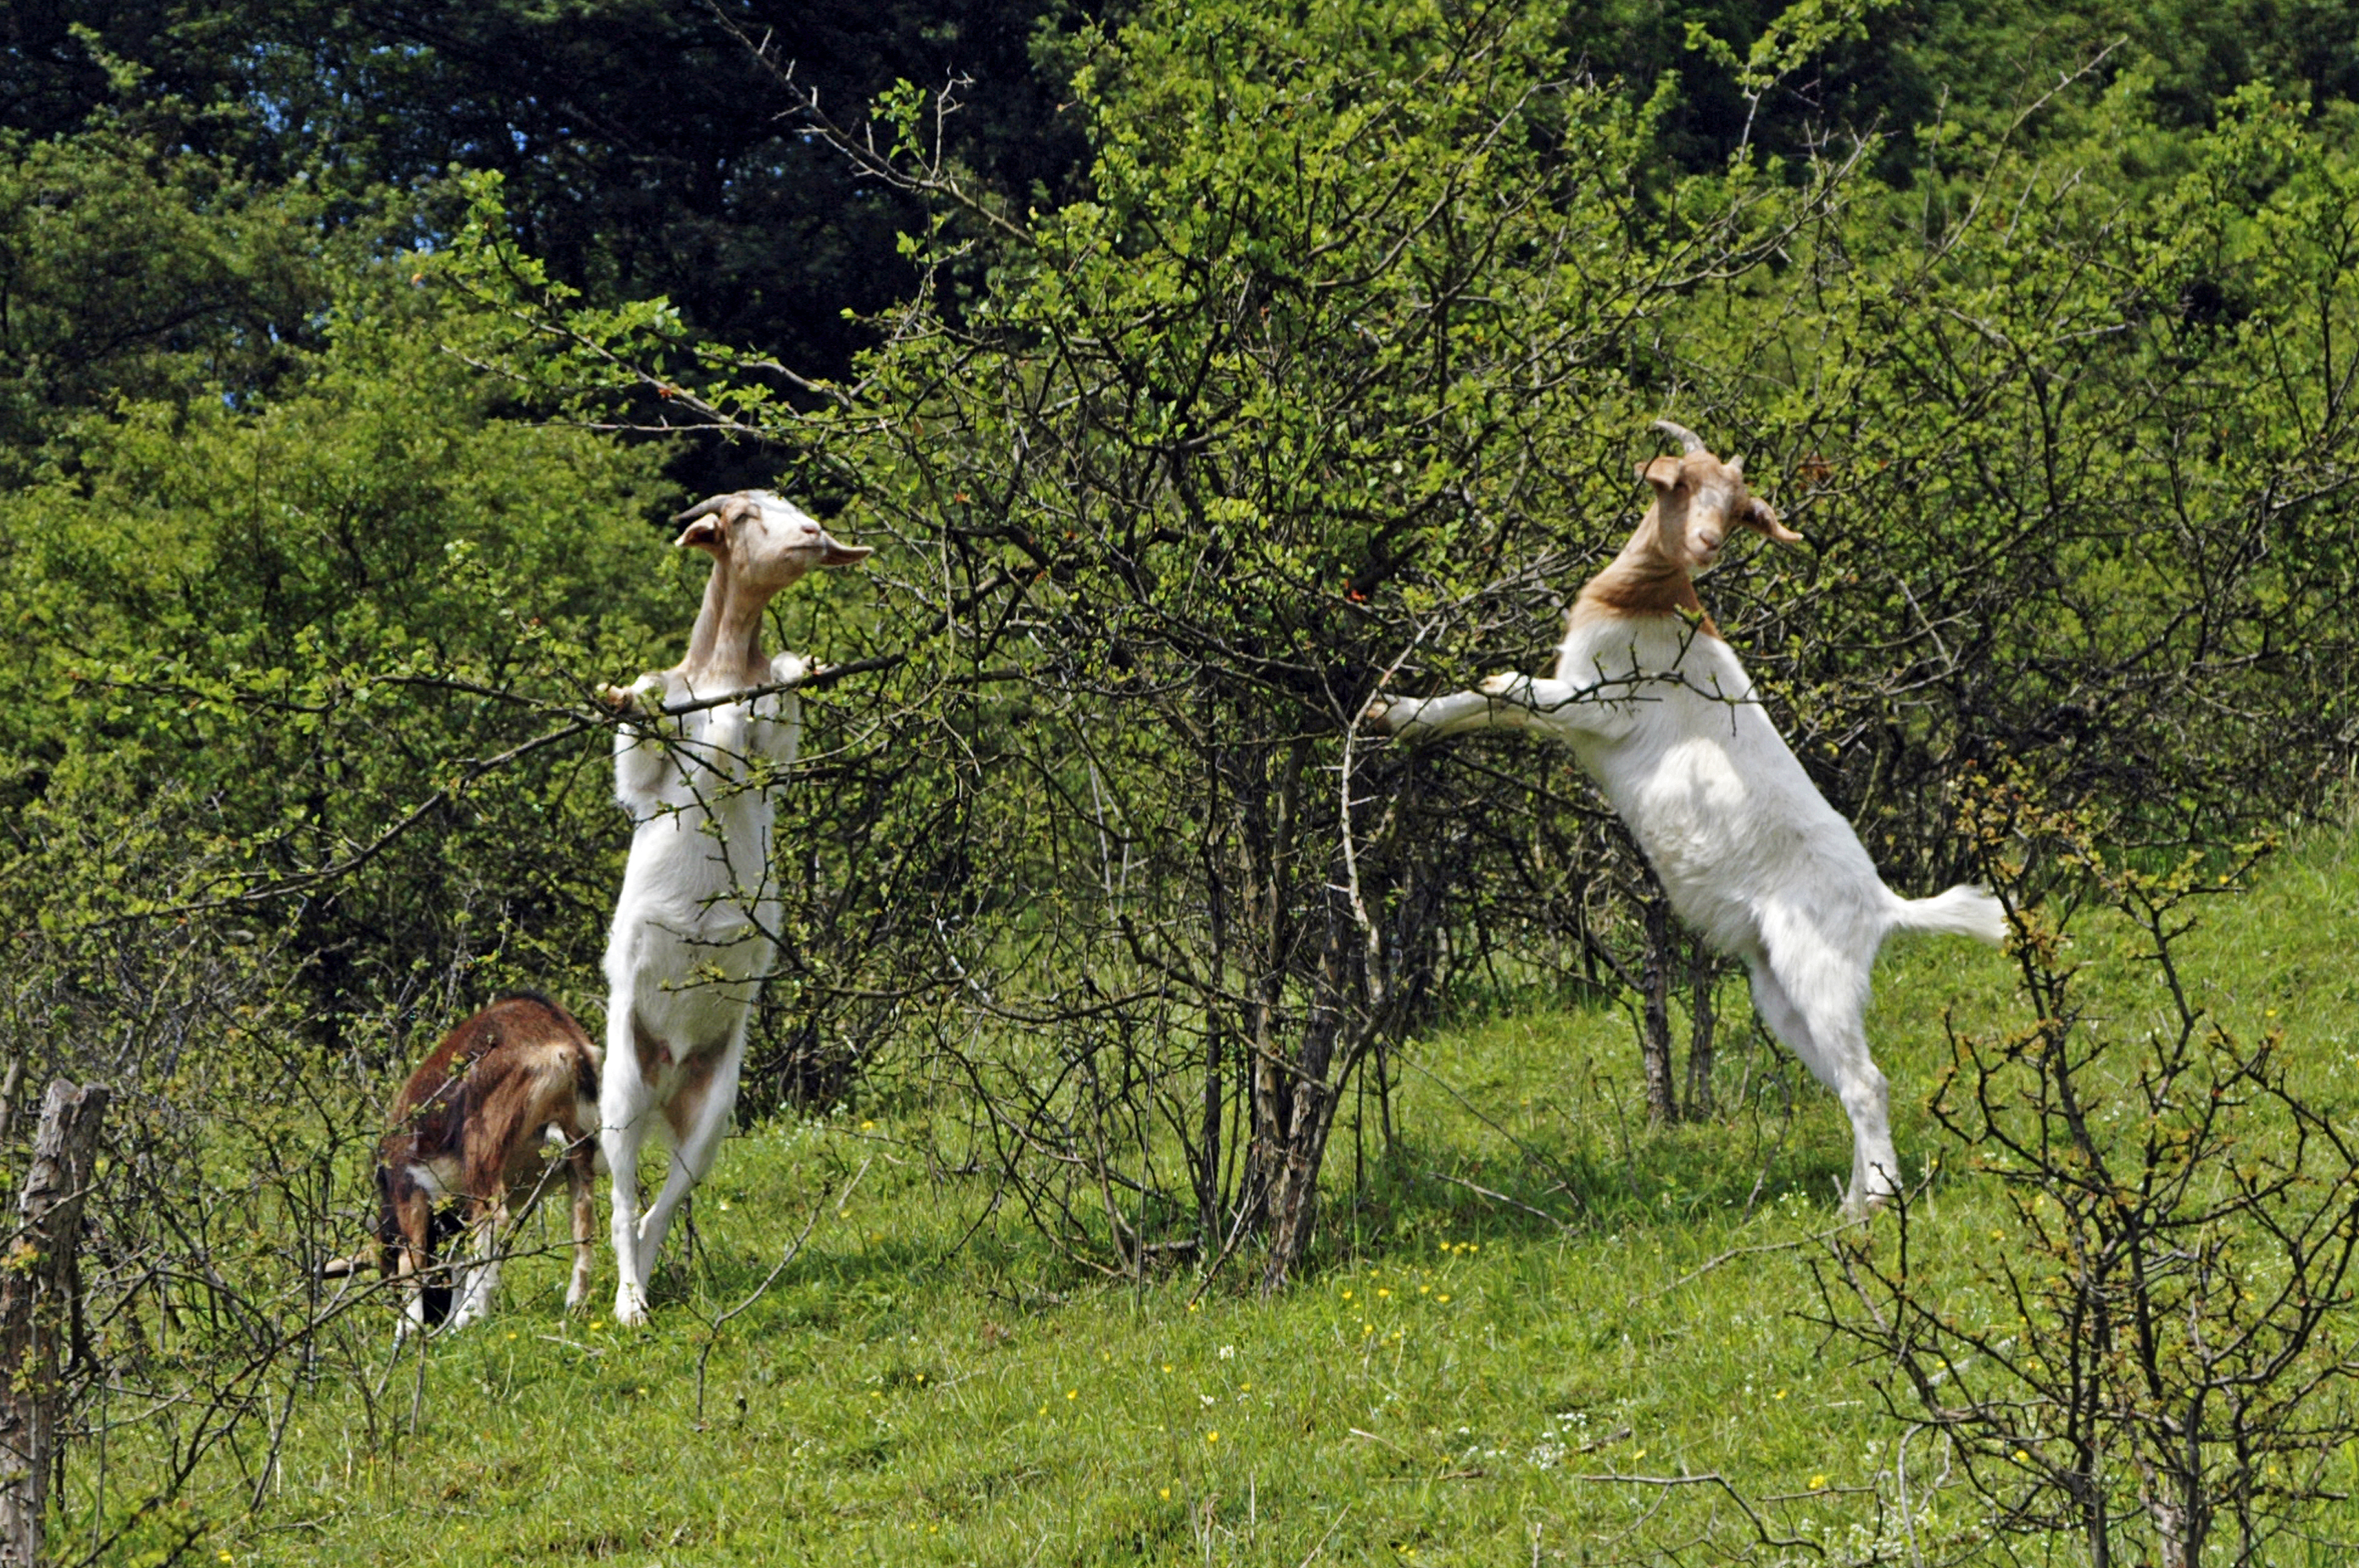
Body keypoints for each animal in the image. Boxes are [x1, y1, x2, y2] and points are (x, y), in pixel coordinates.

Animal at [1377, 419, 2000, 1207]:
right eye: (1681, 487)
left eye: (1736, 510)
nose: (1705, 544)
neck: (1649, 601)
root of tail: (1886, 905)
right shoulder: (1572, 712)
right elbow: (1486, 705)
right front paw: (1394, 714)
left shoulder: (1596, 706)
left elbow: (1504, 689)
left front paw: (1403, 706)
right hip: (1778, 990)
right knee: (1843, 1082)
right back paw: (1852, 1208)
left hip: (1820, 972)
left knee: (1868, 1082)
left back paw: (1881, 1203)